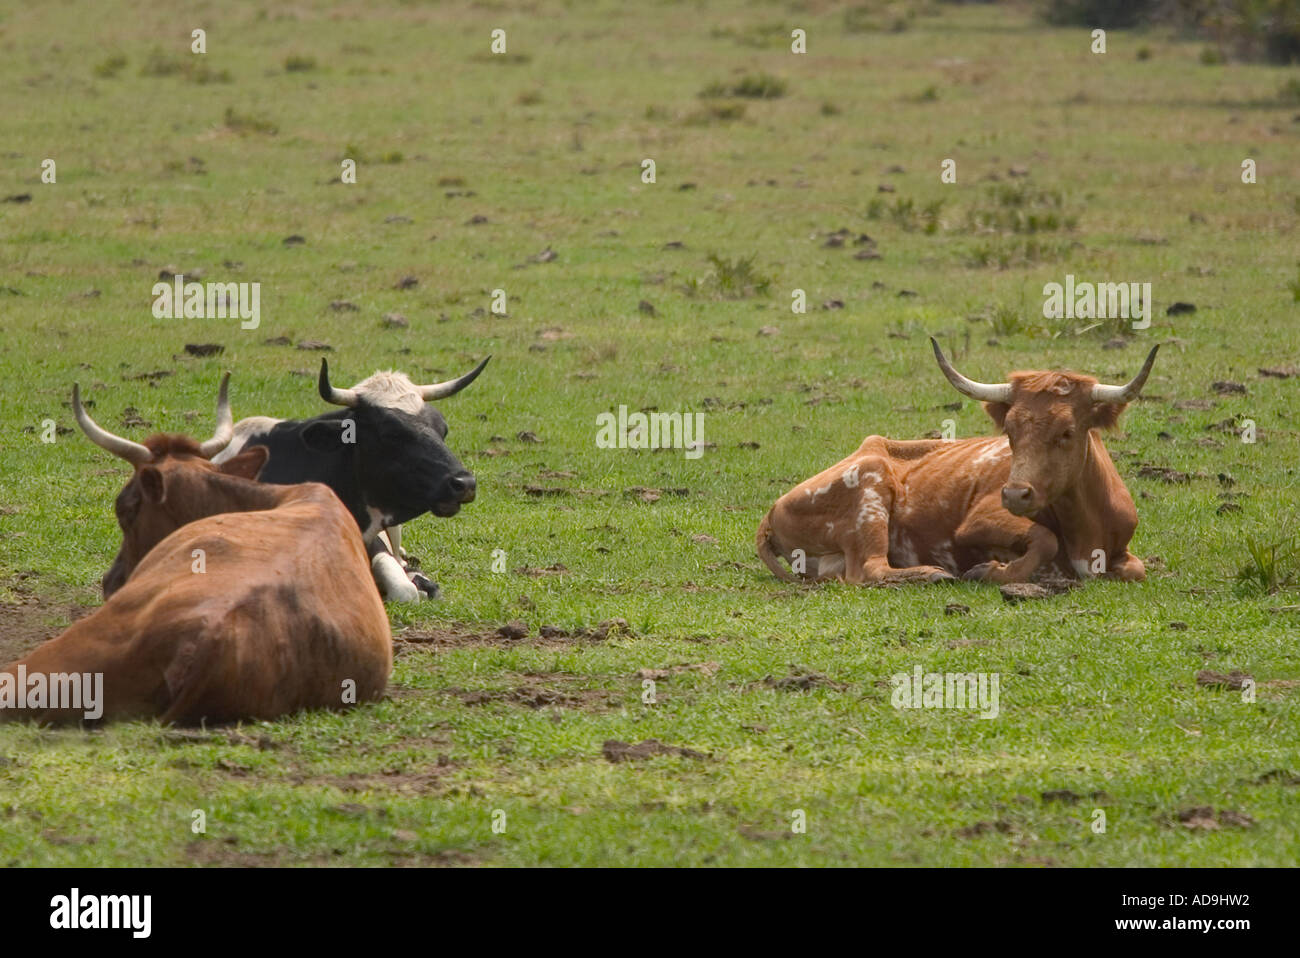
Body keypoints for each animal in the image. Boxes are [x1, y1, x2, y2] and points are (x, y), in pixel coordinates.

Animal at [759, 340, 1164, 587]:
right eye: (1009, 430)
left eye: (1067, 431)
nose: (1014, 495)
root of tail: (773, 510)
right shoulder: (976, 524)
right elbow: (1044, 539)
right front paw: (989, 570)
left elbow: (1137, 569)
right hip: (870, 491)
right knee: (870, 569)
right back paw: (931, 574)